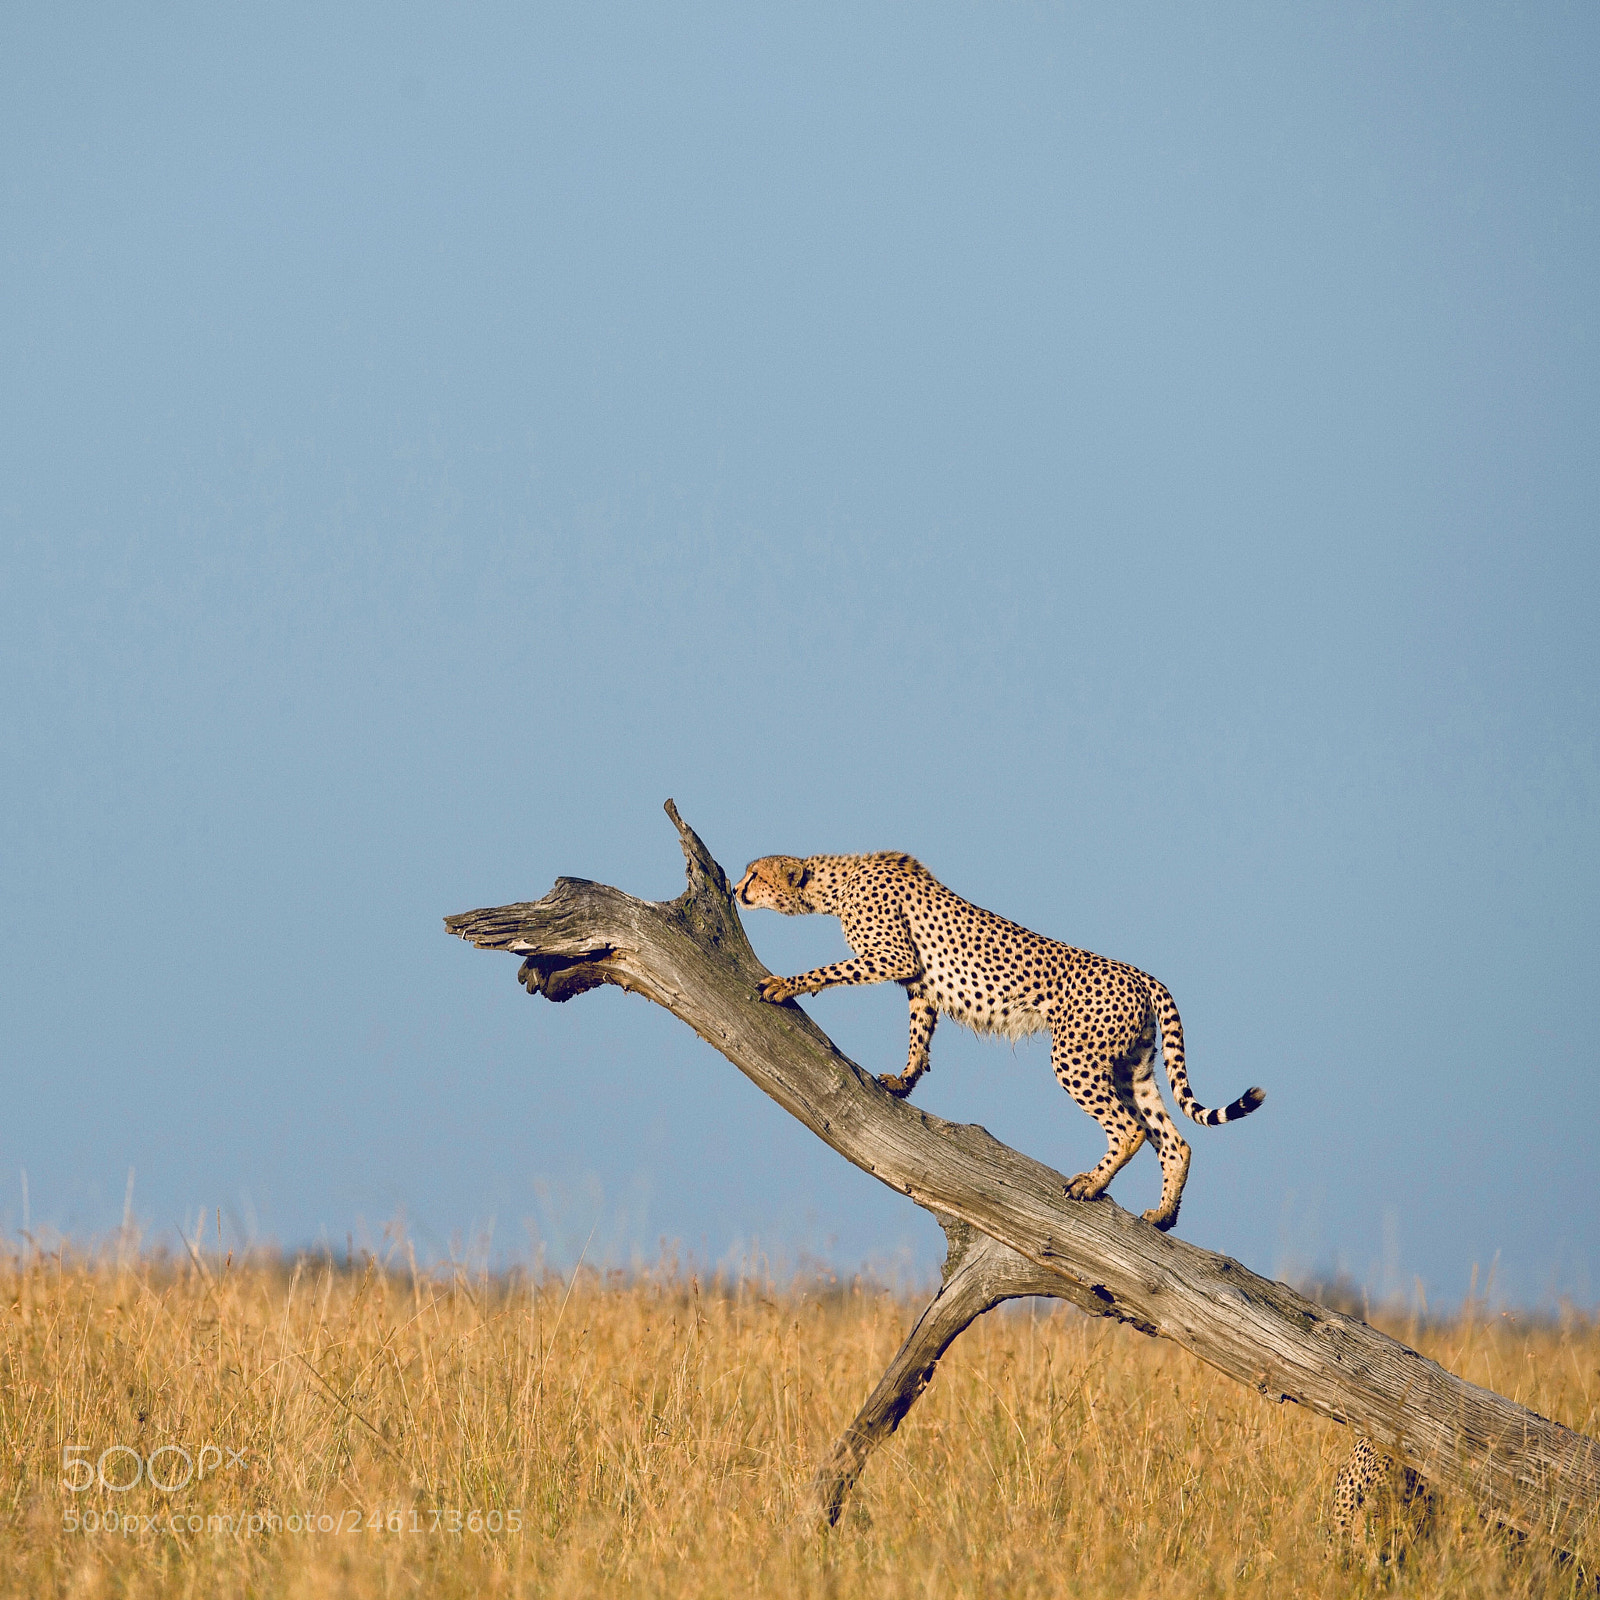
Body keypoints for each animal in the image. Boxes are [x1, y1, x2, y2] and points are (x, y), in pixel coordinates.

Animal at [733, 850, 1264, 1231]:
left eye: (755, 874)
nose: (736, 889)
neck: (835, 881)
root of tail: (1141, 973)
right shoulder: (921, 983)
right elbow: (919, 1033)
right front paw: (903, 1081)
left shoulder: (893, 957)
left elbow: (829, 971)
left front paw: (783, 984)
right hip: (1131, 1065)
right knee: (1174, 1140)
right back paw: (1162, 1214)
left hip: (1074, 1057)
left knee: (1130, 1127)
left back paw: (1091, 1185)